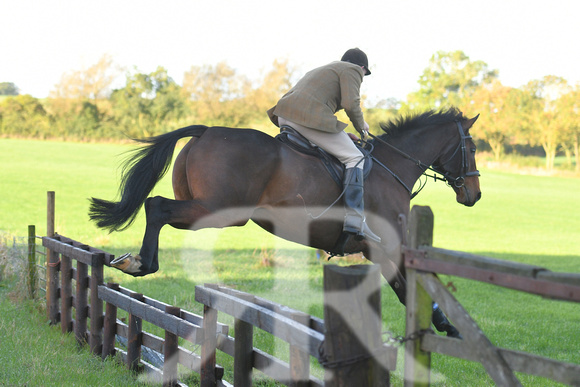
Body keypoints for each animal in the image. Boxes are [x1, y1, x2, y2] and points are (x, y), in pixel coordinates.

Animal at [89, 107, 480, 336]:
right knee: (156, 207)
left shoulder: (377, 251)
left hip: (207, 210)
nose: (474, 195)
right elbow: (410, 288)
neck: (393, 167)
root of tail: (207, 130)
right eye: (474, 148)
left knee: (158, 209)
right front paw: (448, 326)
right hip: (219, 211)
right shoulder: (387, 246)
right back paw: (142, 263)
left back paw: (134, 260)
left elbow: (402, 288)